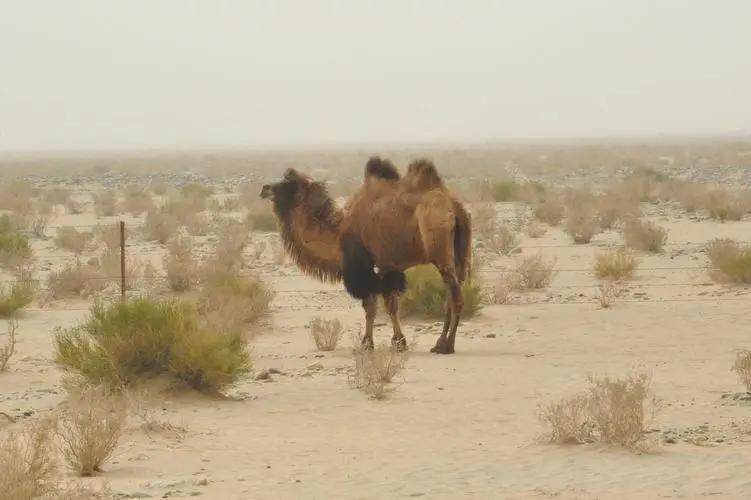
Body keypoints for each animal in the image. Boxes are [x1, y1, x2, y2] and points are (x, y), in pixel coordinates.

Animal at [258, 158, 470, 354]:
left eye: (289, 184)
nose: (264, 189)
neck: (339, 234)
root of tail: (454, 207)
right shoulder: (387, 266)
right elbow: (389, 304)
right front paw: (396, 342)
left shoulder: (363, 268)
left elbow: (372, 306)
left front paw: (371, 343)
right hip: (460, 253)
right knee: (451, 296)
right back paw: (440, 343)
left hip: (439, 246)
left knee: (456, 297)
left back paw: (447, 346)